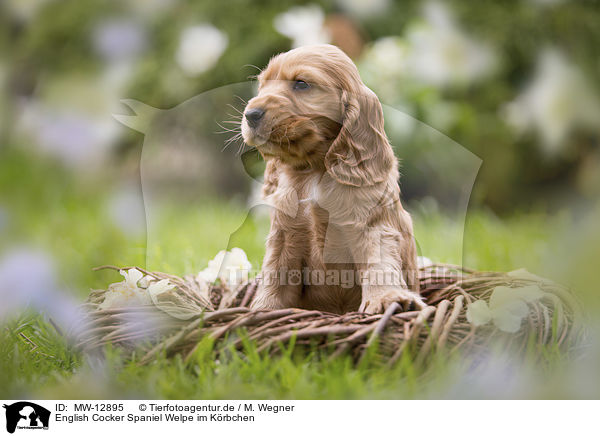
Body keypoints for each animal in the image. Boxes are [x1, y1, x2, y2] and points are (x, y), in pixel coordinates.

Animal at [241, 44, 424, 316]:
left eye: (301, 84)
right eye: (262, 85)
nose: (250, 114)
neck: (313, 171)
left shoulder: (370, 225)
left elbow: (378, 262)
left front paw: (387, 298)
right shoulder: (285, 233)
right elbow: (275, 272)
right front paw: (265, 308)